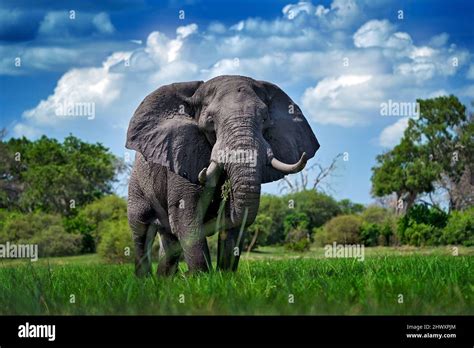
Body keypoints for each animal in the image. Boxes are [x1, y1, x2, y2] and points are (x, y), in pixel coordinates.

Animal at [125, 75, 318, 276]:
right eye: (210, 121)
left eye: (265, 118)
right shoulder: (181, 155)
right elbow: (185, 219)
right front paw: (201, 278)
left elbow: (233, 228)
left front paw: (224, 277)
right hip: (137, 184)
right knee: (141, 230)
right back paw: (145, 280)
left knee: (169, 240)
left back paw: (163, 280)